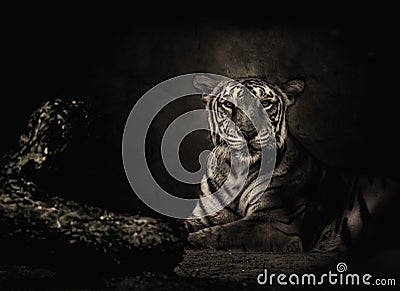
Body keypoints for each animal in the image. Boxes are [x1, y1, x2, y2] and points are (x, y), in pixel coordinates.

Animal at [184, 74, 396, 253]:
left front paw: (190, 240)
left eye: (265, 103)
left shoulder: (274, 223)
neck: (238, 172)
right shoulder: (206, 215)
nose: (248, 131)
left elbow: (223, 233)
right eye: (228, 104)